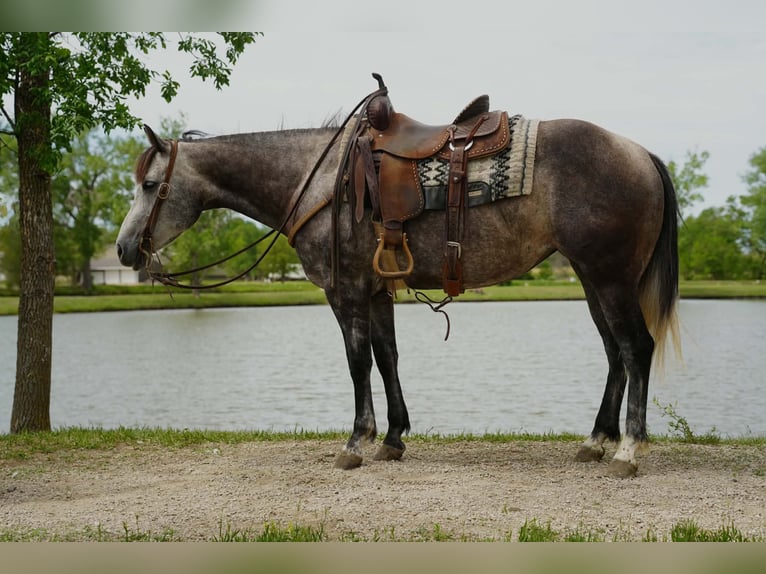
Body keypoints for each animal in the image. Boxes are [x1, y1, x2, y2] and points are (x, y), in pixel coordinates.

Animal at [116, 86, 680, 478]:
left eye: (149, 185)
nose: (124, 249)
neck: (318, 180)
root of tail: (640, 153)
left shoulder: (344, 291)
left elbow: (357, 362)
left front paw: (355, 442)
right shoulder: (376, 291)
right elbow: (386, 357)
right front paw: (392, 439)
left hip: (609, 279)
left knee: (636, 348)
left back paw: (628, 450)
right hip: (593, 280)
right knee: (615, 353)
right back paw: (597, 440)